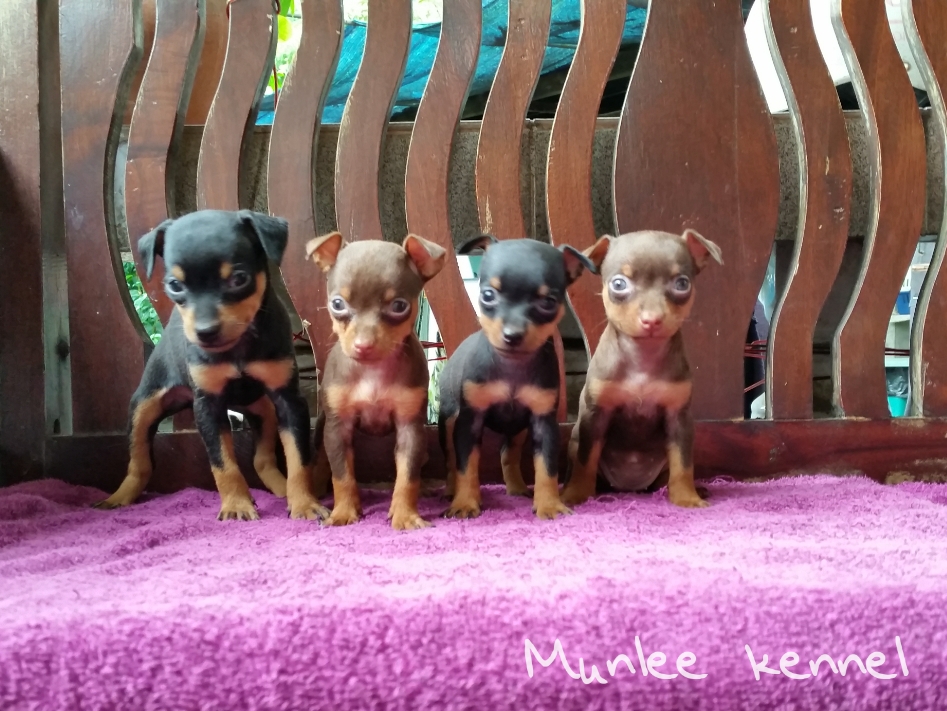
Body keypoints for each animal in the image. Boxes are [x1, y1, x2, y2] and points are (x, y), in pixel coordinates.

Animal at [96, 209, 326, 521]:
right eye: (175, 285)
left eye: (239, 279)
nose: (205, 332)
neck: (237, 348)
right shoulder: (208, 405)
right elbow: (223, 464)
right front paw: (237, 505)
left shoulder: (289, 401)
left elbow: (299, 458)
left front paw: (303, 503)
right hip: (144, 406)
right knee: (139, 462)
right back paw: (119, 497)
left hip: (264, 411)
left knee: (263, 459)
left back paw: (281, 489)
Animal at [305, 232, 446, 530]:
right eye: (337, 304)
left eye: (399, 306)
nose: (363, 345)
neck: (372, 370)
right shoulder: (338, 429)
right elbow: (342, 475)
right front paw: (344, 511)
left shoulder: (410, 429)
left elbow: (407, 476)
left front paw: (405, 514)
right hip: (324, 427)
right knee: (324, 460)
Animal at [437, 235, 595, 520]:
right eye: (488, 295)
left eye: (548, 302)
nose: (512, 335)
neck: (512, 366)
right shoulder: (469, 422)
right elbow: (466, 466)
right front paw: (465, 502)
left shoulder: (544, 423)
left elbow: (547, 468)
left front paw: (549, 504)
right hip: (449, 420)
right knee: (451, 459)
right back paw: (451, 491)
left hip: (518, 429)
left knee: (507, 453)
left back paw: (517, 488)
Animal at [560, 228, 723, 508]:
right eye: (618, 284)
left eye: (682, 284)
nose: (652, 320)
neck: (642, 357)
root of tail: (629, 488)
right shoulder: (595, 416)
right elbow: (585, 460)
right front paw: (575, 495)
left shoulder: (679, 418)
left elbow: (683, 465)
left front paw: (686, 497)